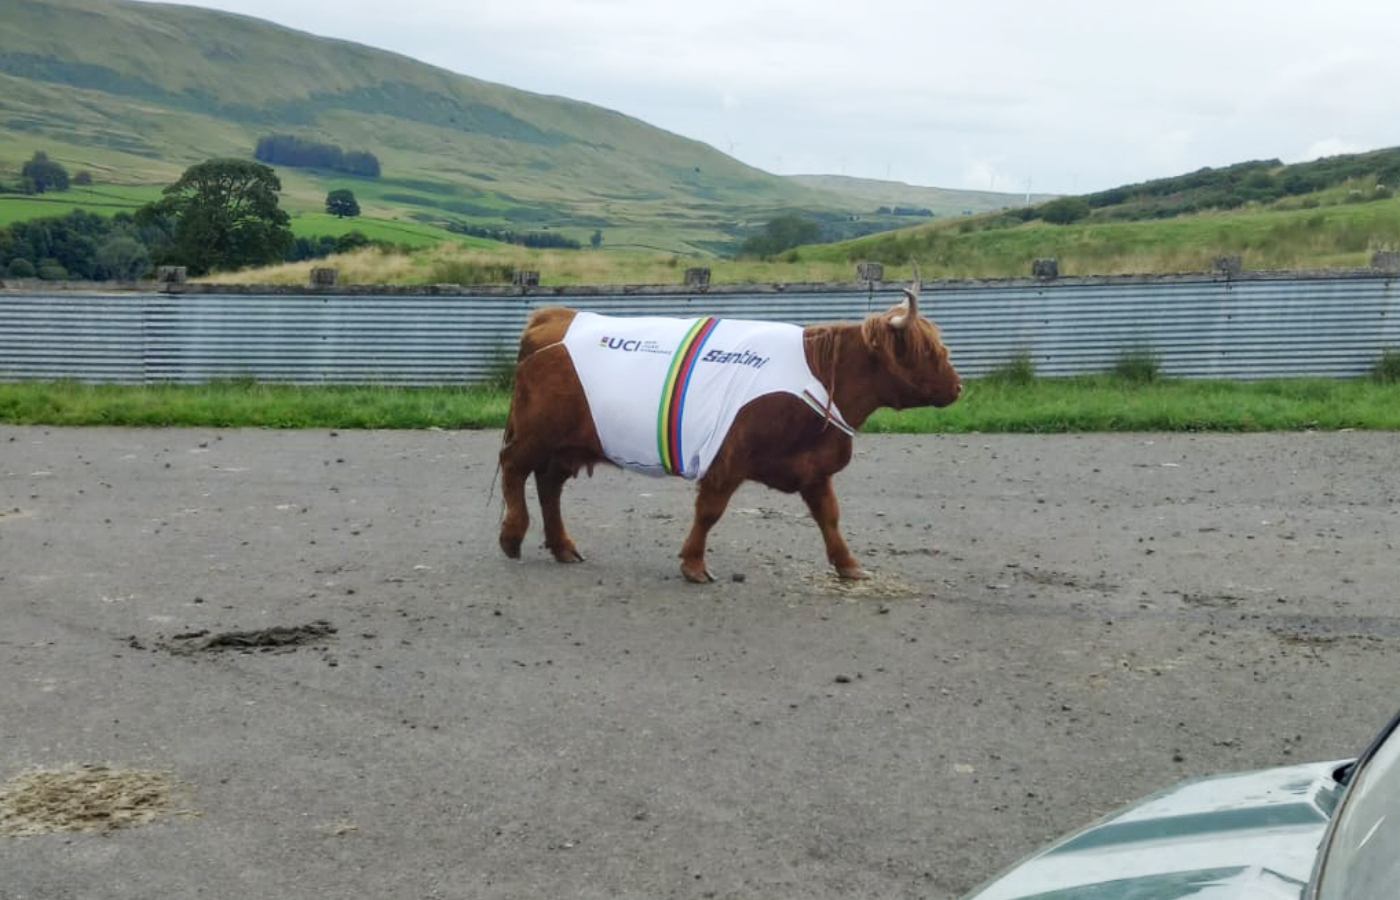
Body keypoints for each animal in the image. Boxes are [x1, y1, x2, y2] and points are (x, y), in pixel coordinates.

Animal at [495, 274, 963, 585]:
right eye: (928, 350)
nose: (958, 386)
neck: (817, 375)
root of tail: (555, 315)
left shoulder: (813, 468)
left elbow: (829, 516)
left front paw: (849, 565)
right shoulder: (727, 458)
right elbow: (710, 511)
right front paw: (694, 564)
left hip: (566, 444)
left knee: (549, 485)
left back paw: (562, 546)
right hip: (537, 433)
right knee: (514, 468)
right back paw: (512, 535)